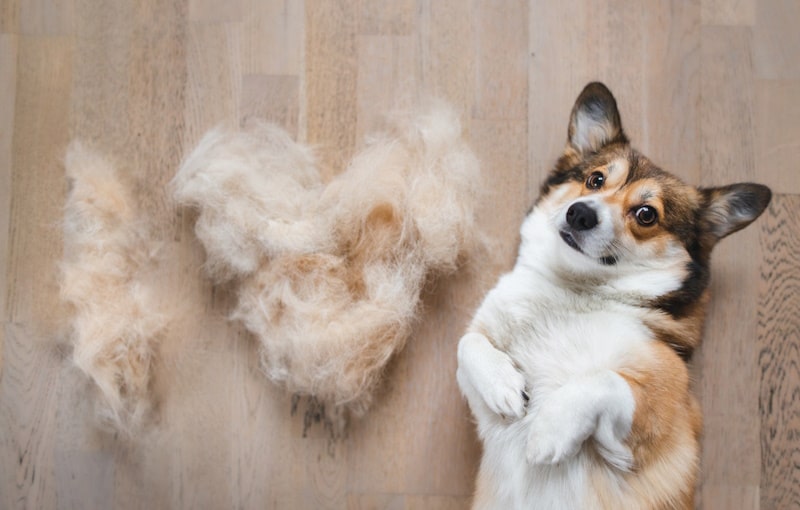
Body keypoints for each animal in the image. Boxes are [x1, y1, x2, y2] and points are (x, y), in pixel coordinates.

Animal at [460, 81, 772, 508]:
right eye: (595, 180)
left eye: (646, 214)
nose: (580, 213)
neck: (574, 289)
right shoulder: (479, 400)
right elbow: (467, 344)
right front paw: (504, 387)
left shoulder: (661, 409)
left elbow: (603, 380)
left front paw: (549, 431)